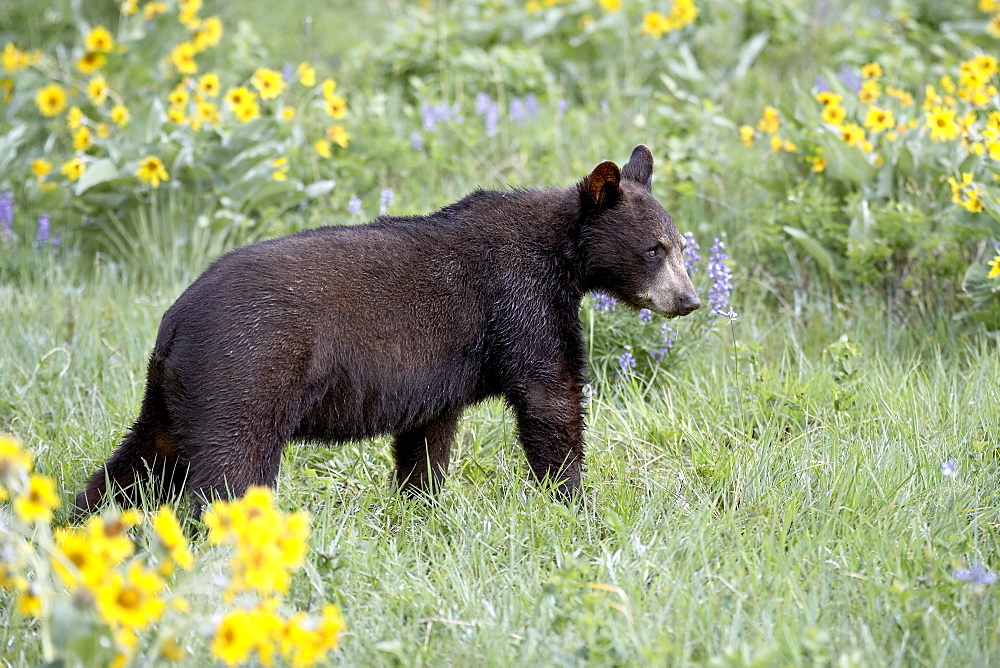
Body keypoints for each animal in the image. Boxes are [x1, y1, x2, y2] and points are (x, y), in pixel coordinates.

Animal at [74, 144, 700, 516]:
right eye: (654, 249)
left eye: (679, 244)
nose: (690, 299)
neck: (560, 254)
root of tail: (175, 322)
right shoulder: (520, 300)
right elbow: (551, 395)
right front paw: (571, 500)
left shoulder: (443, 371)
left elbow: (428, 436)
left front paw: (420, 506)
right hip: (245, 372)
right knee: (229, 469)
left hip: (175, 393)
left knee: (138, 460)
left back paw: (81, 523)